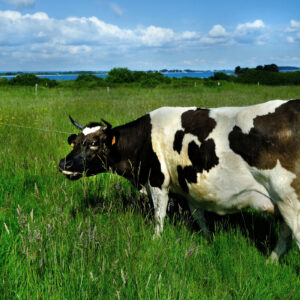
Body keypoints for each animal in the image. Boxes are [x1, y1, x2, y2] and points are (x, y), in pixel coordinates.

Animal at [58, 99, 300, 262]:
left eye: (94, 143)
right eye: (75, 142)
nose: (63, 164)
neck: (143, 140)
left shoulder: (157, 182)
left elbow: (159, 216)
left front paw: (155, 242)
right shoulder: (189, 189)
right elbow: (199, 218)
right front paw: (209, 241)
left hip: (289, 198)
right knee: (285, 235)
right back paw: (270, 261)